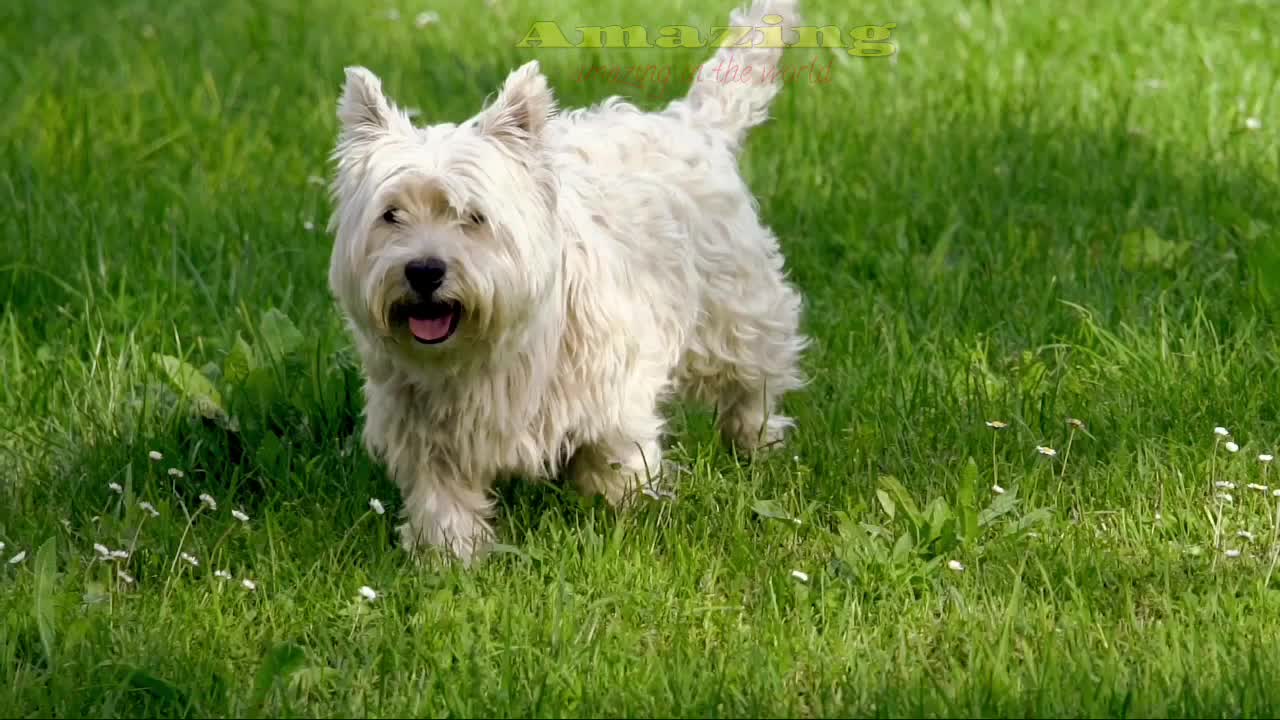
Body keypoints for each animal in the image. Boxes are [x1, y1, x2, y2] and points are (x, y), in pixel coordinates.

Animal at [330, 0, 808, 561]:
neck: (484, 355)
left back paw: (757, 441)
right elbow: (441, 496)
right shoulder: (423, 428)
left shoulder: (614, 390)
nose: (424, 271)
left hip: (737, 313)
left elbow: (616, 460)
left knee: (753, 382)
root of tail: (690, 124)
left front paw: (624, 519)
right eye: (391, 215)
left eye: (473, 216)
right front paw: (452, 556)